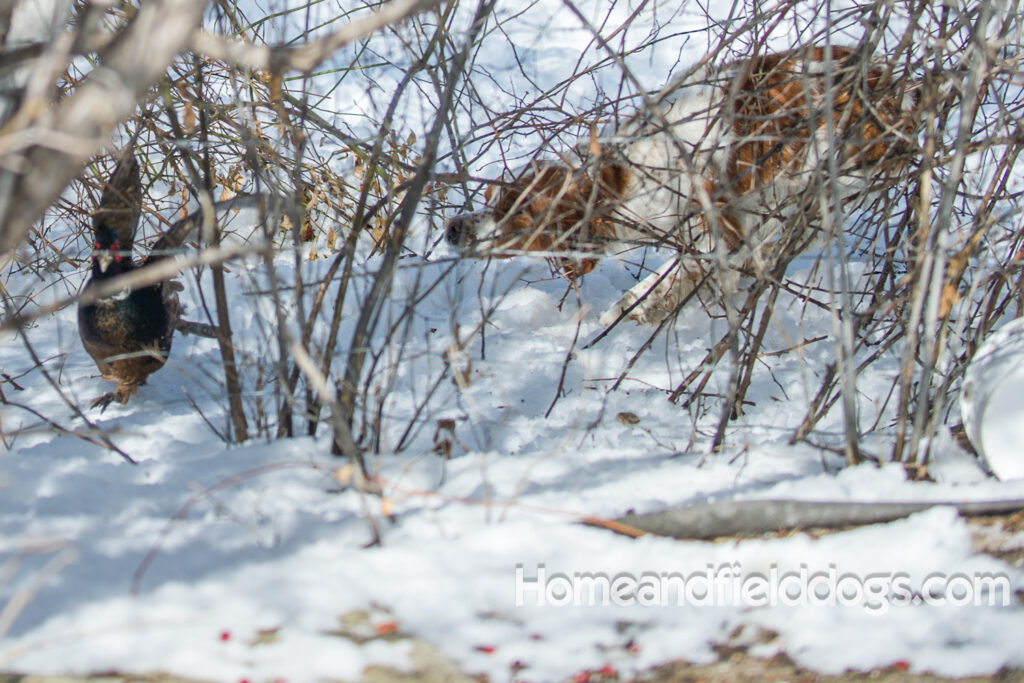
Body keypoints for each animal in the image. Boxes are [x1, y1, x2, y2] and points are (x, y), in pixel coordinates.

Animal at [444, 46, 917, 327]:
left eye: (517, 209)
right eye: (490, 195)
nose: (453, 228)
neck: (628, 179)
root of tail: (893, 81)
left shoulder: (717, 231)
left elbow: (666, 280)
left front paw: (631, 310)